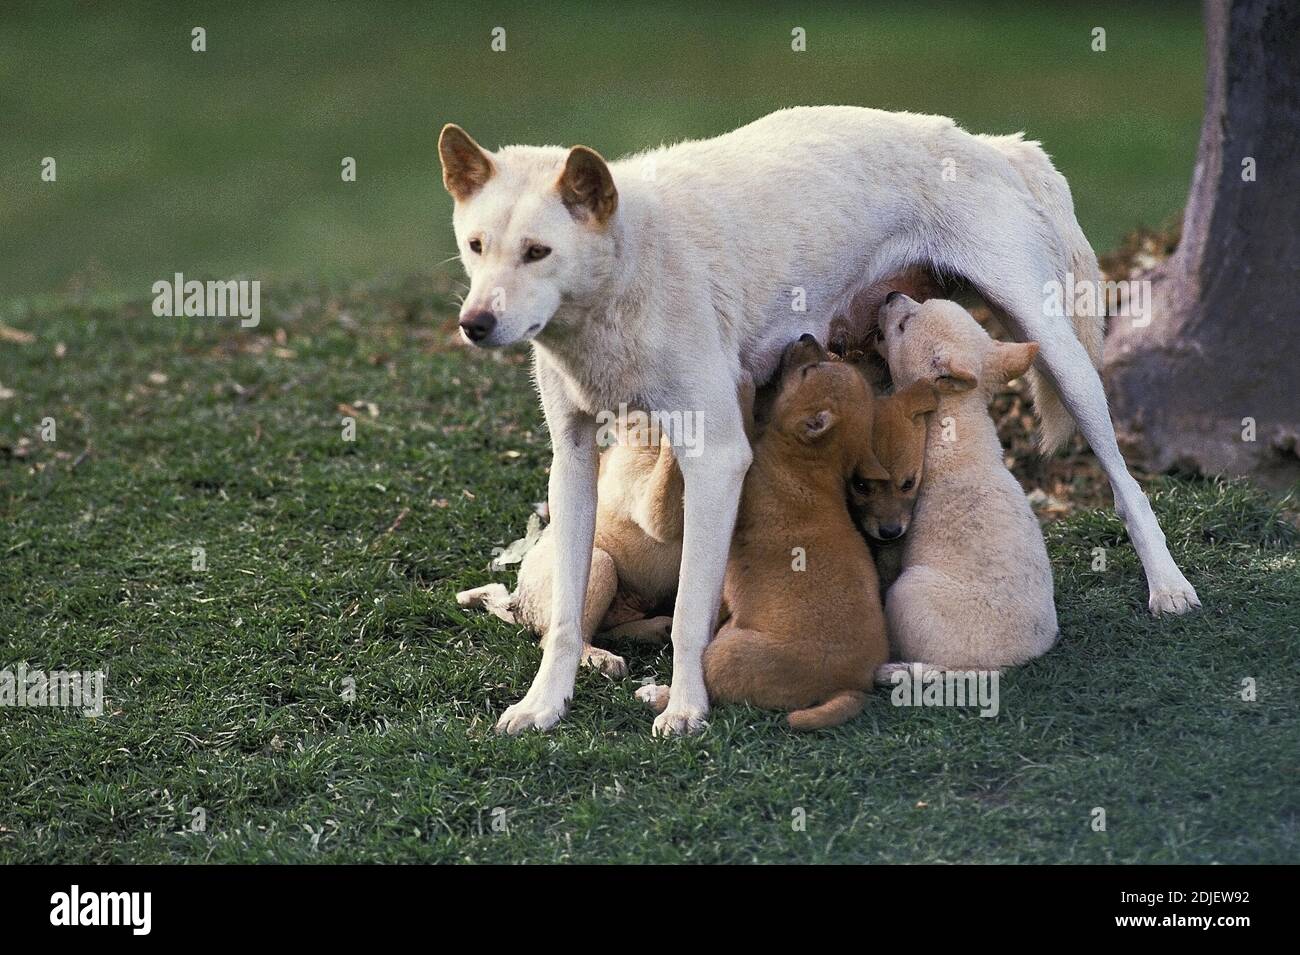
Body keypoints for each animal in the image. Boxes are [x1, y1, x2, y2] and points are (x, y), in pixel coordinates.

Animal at [637, 337, 894, 732]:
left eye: (808, 371)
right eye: (818, 362)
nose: (805, 336)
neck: (811, 463)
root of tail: (850, 686)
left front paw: (741, 386)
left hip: (726, 650)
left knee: (710, 685)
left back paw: (660, 698)